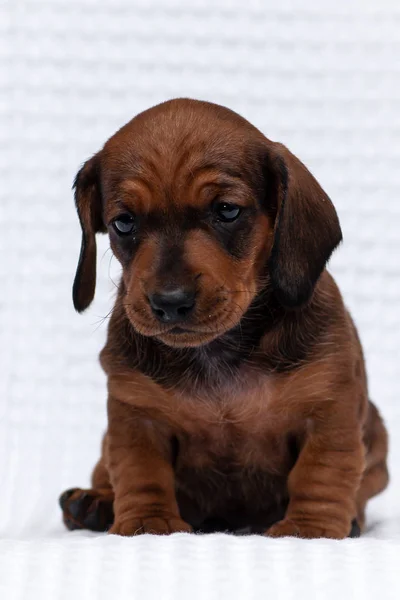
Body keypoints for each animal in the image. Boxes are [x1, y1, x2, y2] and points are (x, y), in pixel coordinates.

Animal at [59, 98, 388, 540]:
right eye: (123, 222)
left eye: (227, 211)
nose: (170, 302)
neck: (218, 352)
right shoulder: (136, 413)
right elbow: (140, 470)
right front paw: (147, 521)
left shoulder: (328, 410)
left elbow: (321, 471)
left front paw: (308, 527)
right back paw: (94, 502)